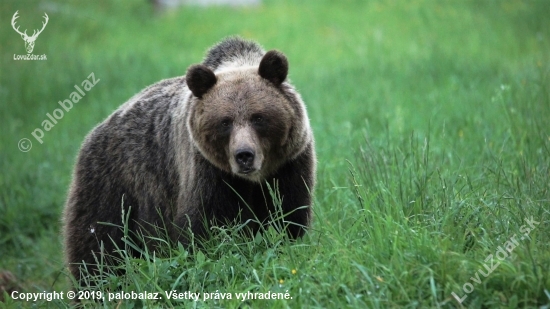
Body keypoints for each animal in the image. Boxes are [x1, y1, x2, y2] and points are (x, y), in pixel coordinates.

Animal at [62, 36, 316, 286]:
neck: (253, 180)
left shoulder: (288, 167)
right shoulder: (207, 171)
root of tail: (98, 128)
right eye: (225, 122)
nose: (244, 155)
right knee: (98, 244)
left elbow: (288, 216)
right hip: (112, 184)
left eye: (258, 117)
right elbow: (204, 230)